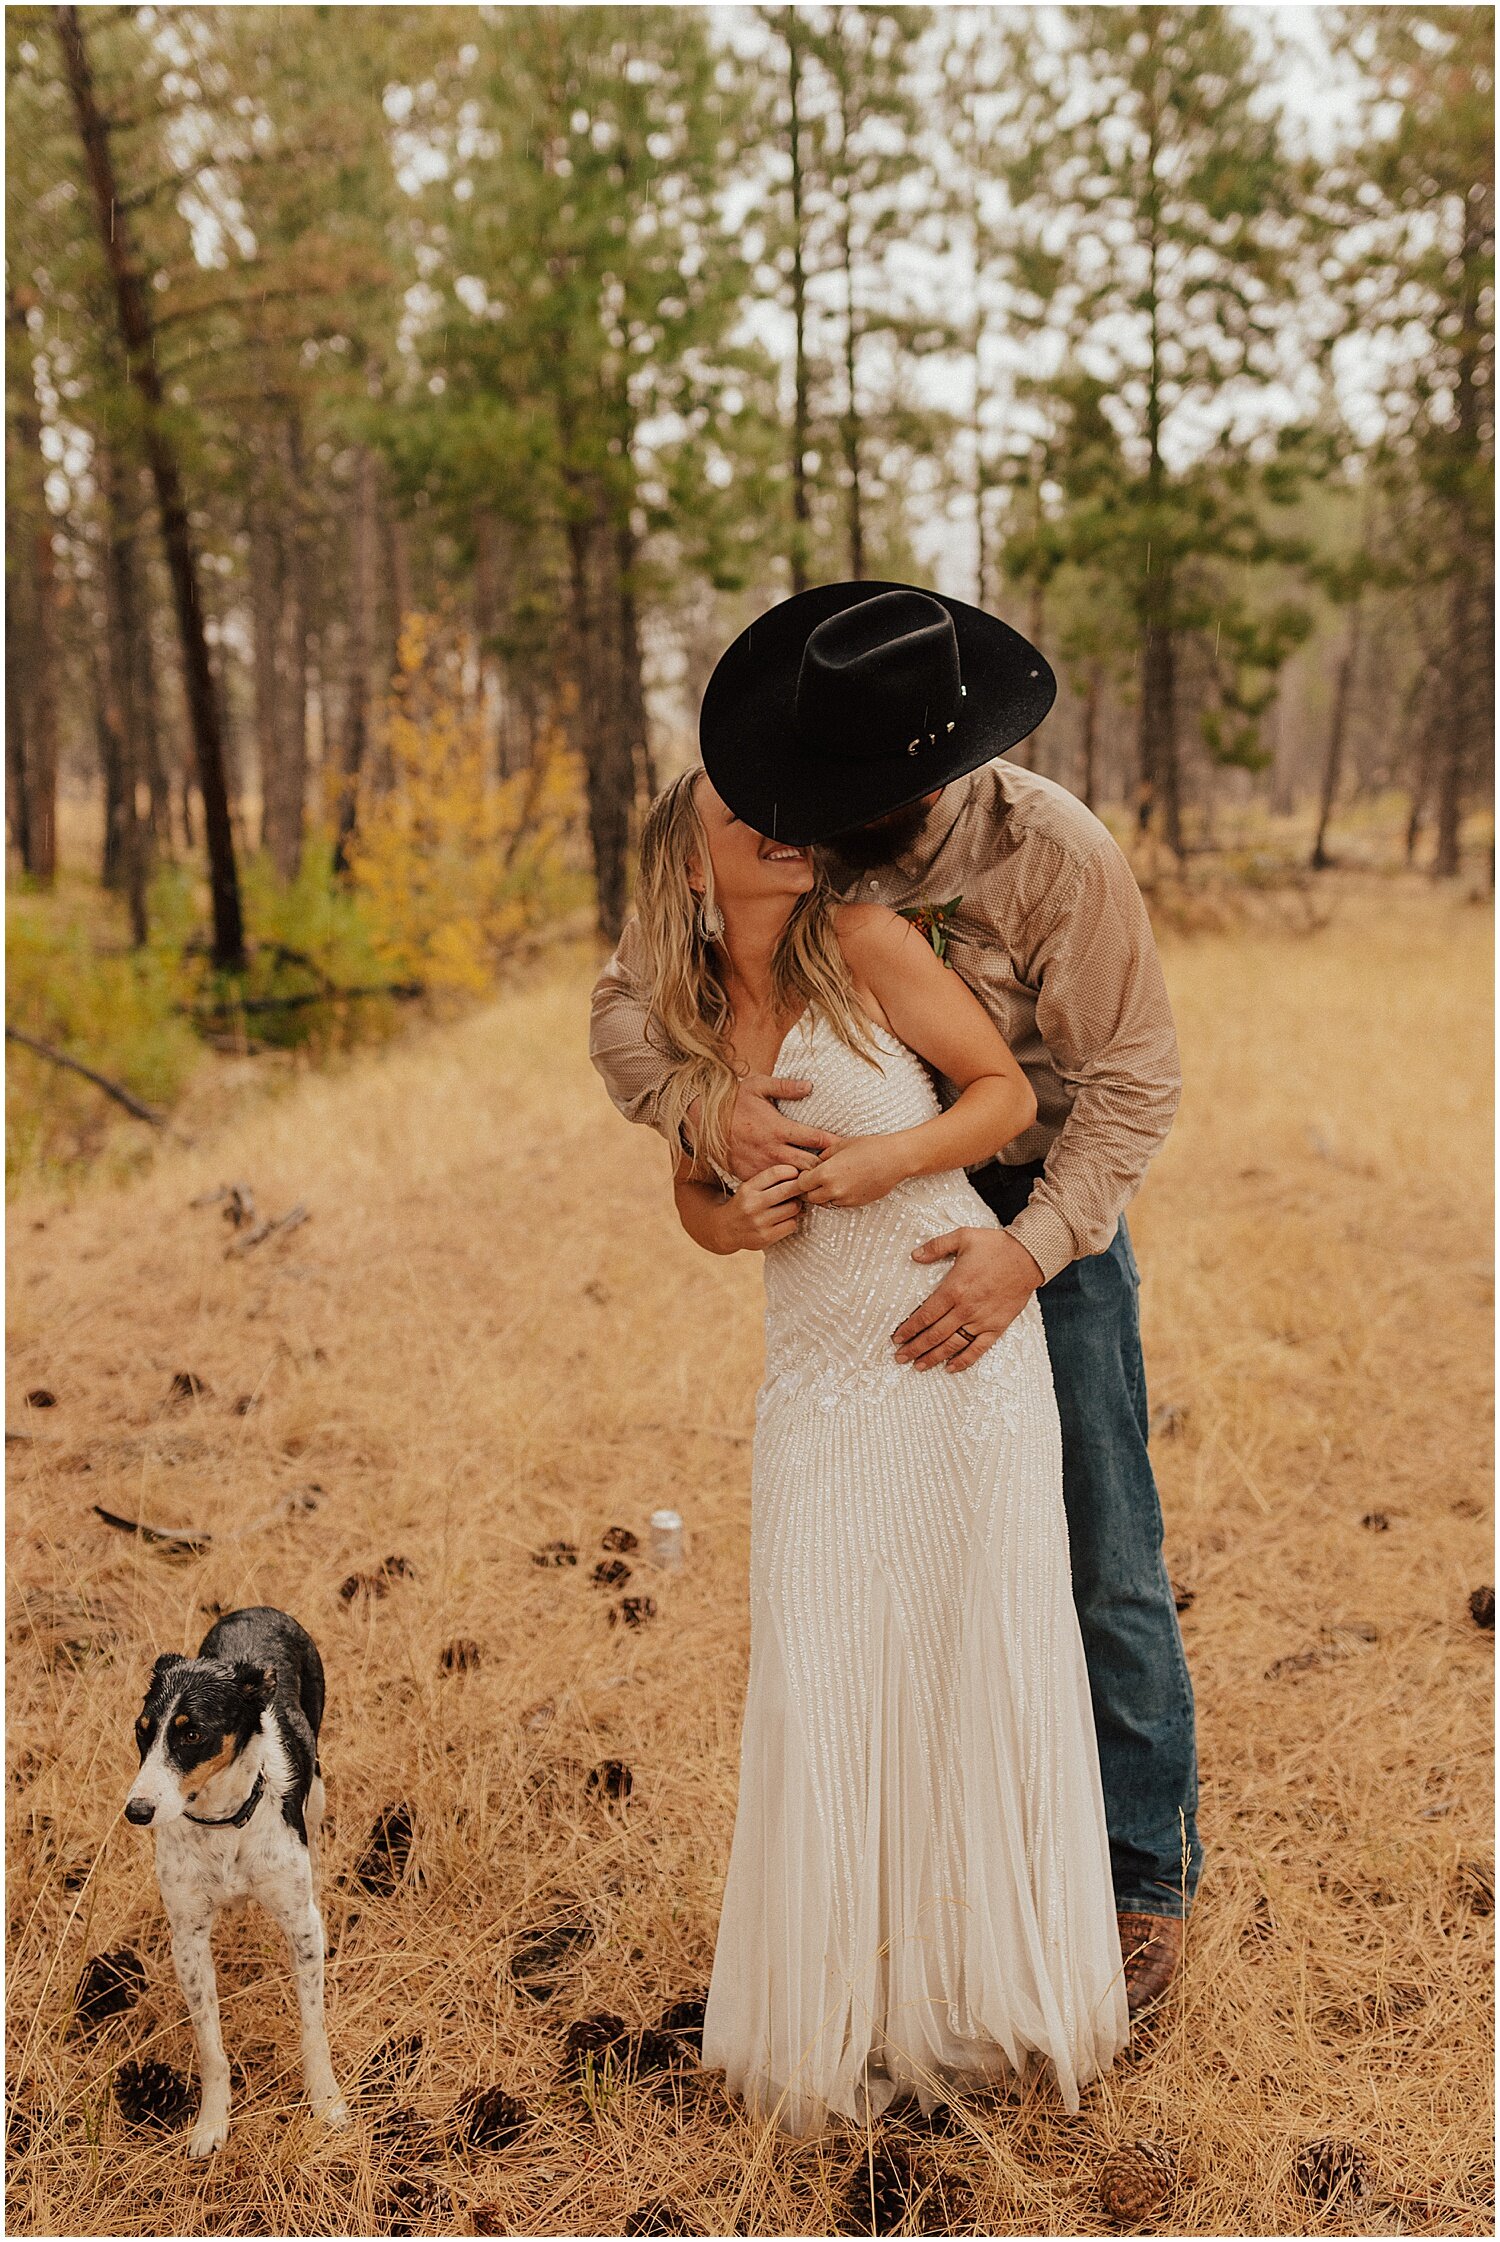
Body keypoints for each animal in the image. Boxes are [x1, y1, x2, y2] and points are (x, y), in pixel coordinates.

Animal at [124, 1596, 347, 2152]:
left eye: (192, 1733)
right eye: (141, 1730)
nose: (136, 1811)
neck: (224, 1823)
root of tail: (256, 1607)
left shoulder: (301, 1925)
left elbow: (313, 2026)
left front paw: (326, 2101)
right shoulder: (187, 1938)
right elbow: (210, 2046)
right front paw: (212, 2122)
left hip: (317, 1787)